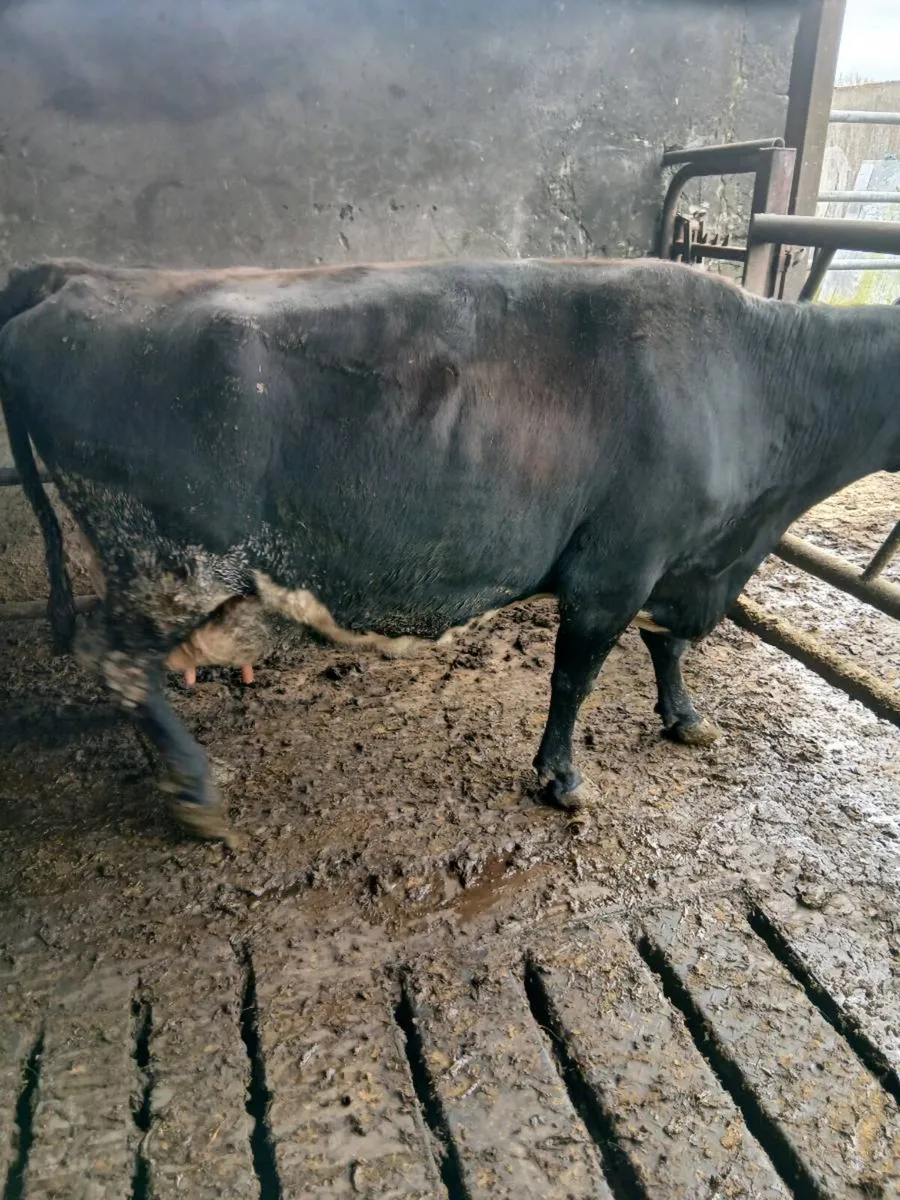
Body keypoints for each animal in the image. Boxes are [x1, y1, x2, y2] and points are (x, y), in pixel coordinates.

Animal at [1, 257, 898, 841]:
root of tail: (78, 276)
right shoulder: (616, 566)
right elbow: (576, 677)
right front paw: (562, 779)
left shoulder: (685, 561)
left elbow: (668, 645)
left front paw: (684, 718)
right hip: (168, 563)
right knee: (115, 659)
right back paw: (192, 789)